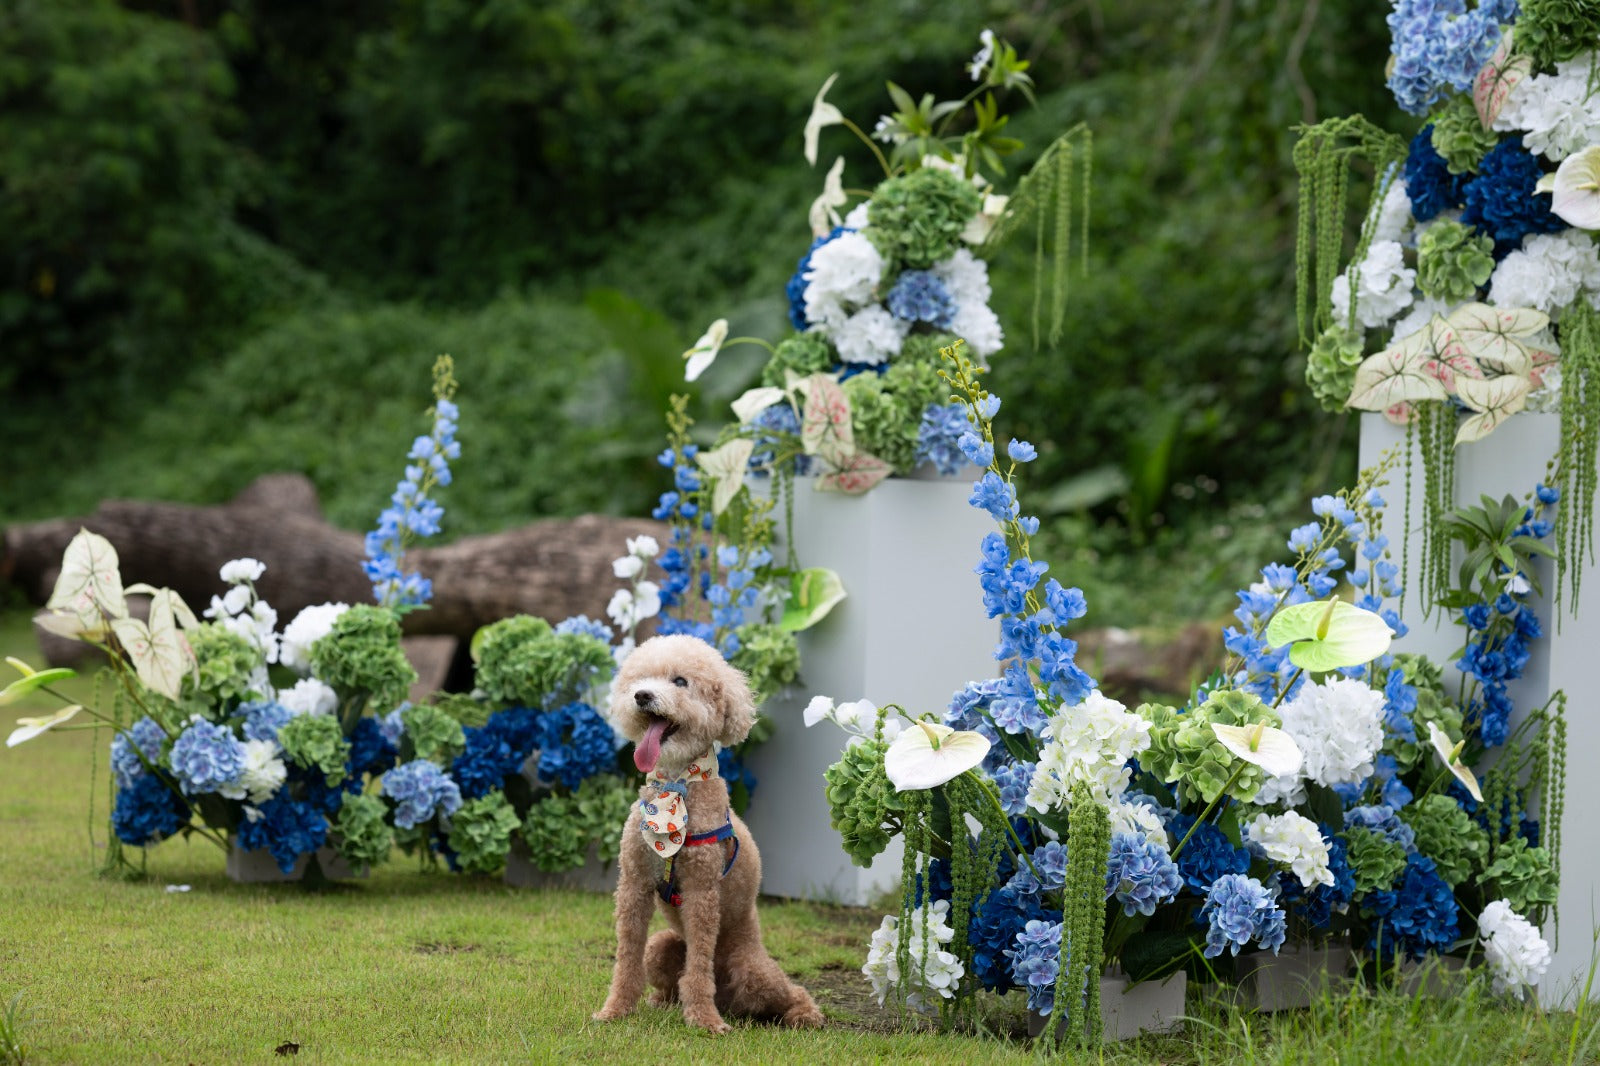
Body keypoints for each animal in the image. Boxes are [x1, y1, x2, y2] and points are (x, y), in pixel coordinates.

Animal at [592, 630, 825, 1030]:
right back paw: (662, 1001)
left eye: (680, 681)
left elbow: (699, 967)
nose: (642, 696)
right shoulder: (634, 883)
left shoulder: (702, 890)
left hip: (752, 970)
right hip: (660, 946)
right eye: (640, 680)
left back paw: (803, 1014)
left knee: (787, 991)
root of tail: (731, 1001)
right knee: (667, 977)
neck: (676, 786)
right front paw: (615, 1010)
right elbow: (626, 960)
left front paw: (703, 1019)